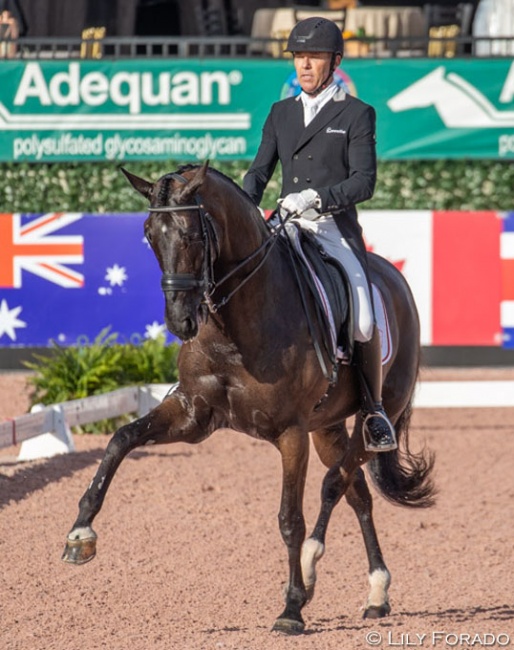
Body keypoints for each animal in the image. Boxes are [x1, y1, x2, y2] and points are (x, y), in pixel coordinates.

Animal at [62, 161, 434, 632]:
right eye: (149, 234)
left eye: (192, 234)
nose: (181, 321)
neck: (233, 327)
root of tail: (393, 277)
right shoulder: (193, 415)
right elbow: (120, 440)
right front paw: (80, 534)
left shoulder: (290, 434)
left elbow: (290, 519)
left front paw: (291, 609)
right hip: (326, 428)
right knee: (357, 493)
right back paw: (375, 593)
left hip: (375, 418)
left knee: (336, 482)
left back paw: (316, 571)